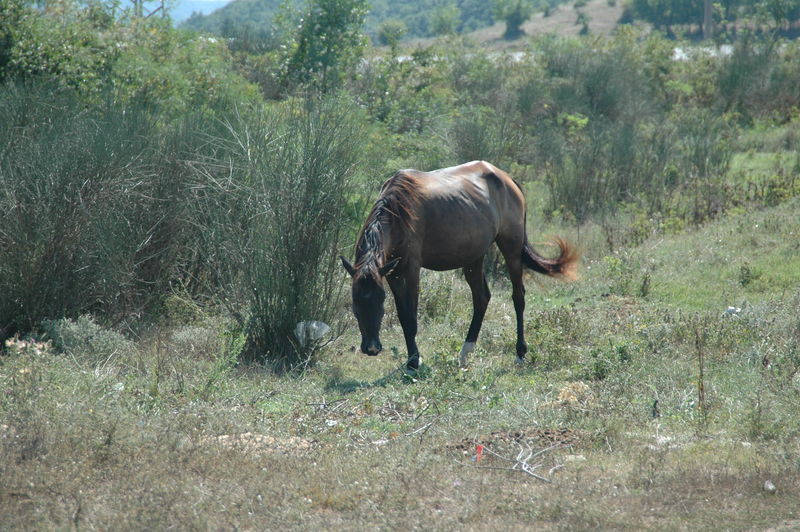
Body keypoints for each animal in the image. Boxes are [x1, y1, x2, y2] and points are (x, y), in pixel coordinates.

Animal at [340, 160, 580, 372]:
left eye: (380, 300)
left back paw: (520, 353)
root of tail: (507, 179)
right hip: (474, 257)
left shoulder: (411, 270)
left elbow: (411, 317)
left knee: (518, 297)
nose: (371, 348)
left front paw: (414, 362)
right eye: (355, 301)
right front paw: (412, 360)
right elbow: (402, 315)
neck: (398, 212)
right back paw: (466, 352)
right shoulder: (392, 273)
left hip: (511, 249)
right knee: (482, 298)